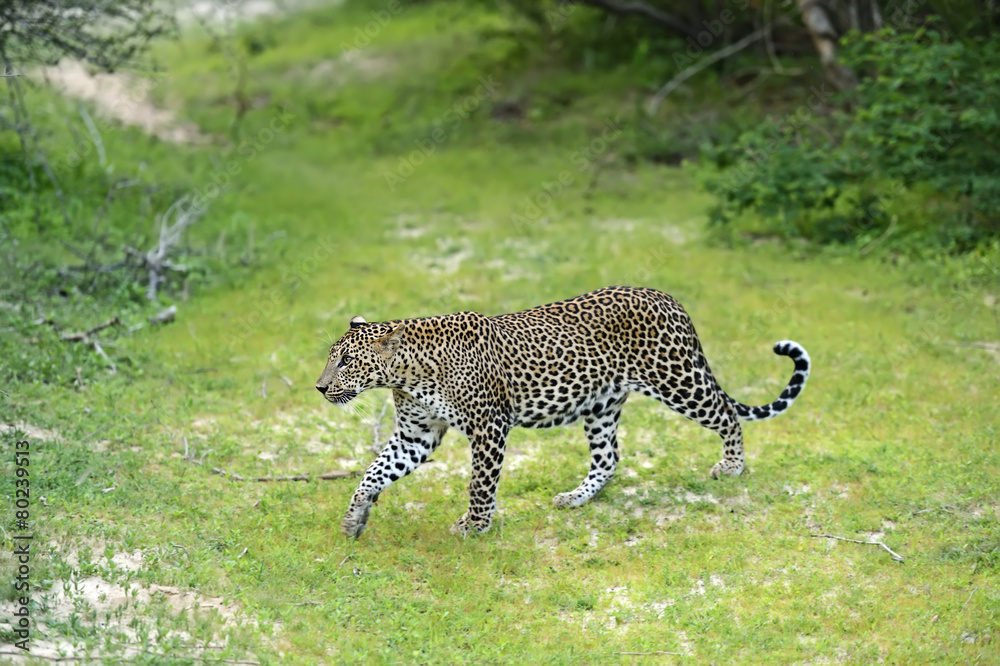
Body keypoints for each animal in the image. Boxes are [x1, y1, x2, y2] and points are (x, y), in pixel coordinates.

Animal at [315, 286, 811, 538]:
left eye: (347, 360)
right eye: (332, 359)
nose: (320, 387)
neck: (408, 374)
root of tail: (668, 298)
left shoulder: (489, 427)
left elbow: (480, 484)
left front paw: (475, 525)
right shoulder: (415, 435)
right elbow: (373, 473)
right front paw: (355, 518)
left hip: (678, 381)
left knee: (727, 413)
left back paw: (732, 466)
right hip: (601, 403)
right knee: (609, 458)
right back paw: (577, 497)